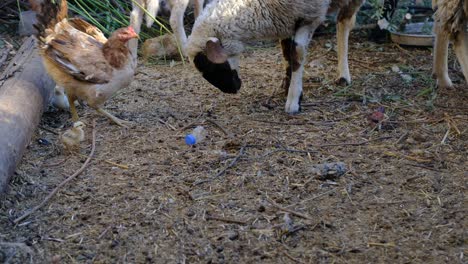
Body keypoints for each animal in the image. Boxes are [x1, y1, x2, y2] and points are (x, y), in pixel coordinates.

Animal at [186, 0, 366, 113]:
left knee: (344, 22)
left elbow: (297, 54)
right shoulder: (286, 20)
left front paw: (294, 100)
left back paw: (343, 76)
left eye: (211, 65)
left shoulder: (309, 16)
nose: (232, 90)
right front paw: (287, 86)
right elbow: (287, 52)